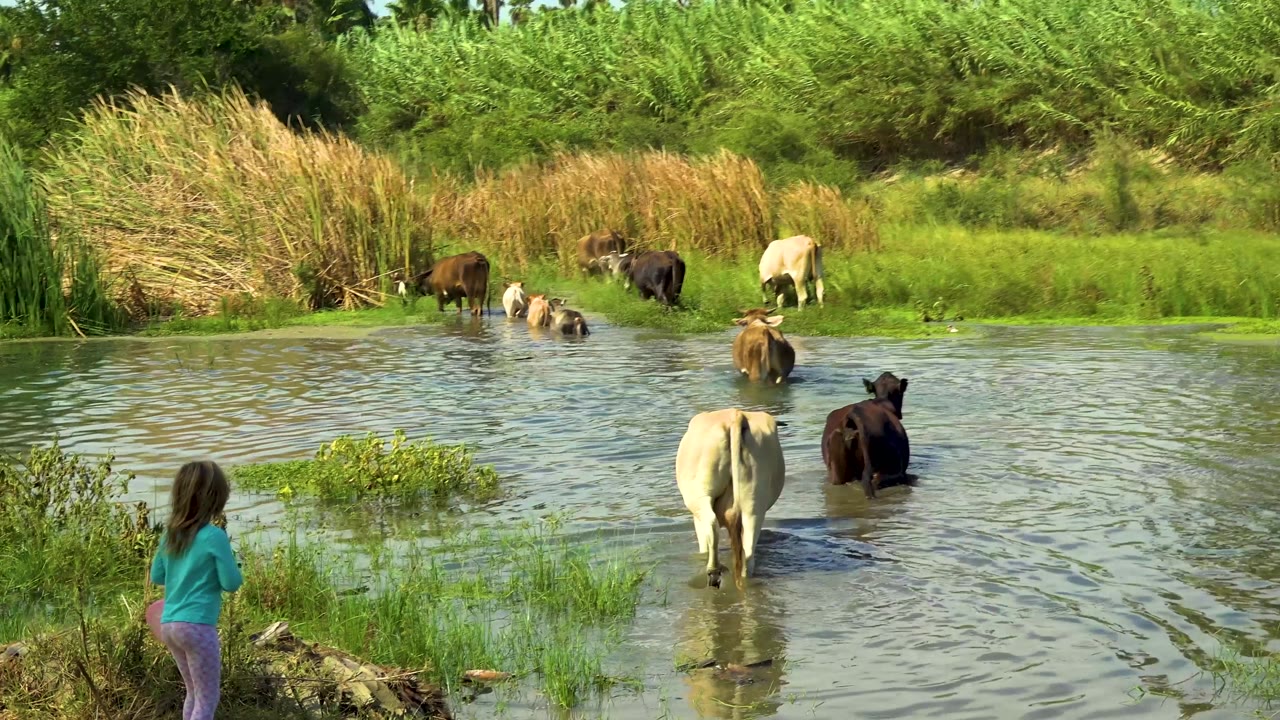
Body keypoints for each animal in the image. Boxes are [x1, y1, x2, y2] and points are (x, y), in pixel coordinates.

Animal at [675, 408, 786, 589]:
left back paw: (713, 572)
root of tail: (735, 415)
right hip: (753, 503)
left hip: (699, 496)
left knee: (711, 524)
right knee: (748, 551)